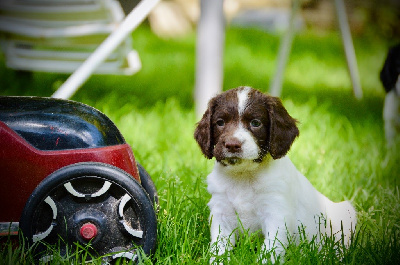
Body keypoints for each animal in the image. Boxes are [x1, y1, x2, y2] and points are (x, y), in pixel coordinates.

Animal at [194, 86, 356, 262]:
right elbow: (219, 249)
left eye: (255, 123)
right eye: (220, 122)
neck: (243, 175)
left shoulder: (276, 214)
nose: (232, 145)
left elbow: (270, 250)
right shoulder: (221, 212)